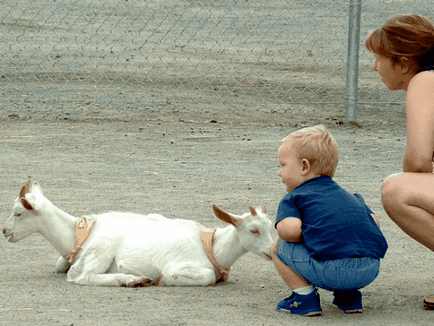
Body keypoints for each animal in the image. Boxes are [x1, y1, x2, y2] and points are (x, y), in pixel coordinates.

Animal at [3, 182, 272, 286]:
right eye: (254, 229)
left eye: (18, 213)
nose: (4, 230)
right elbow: (201, 276)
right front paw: (162, 279)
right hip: (102, 248)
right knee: (83, 277)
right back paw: (132, 280)